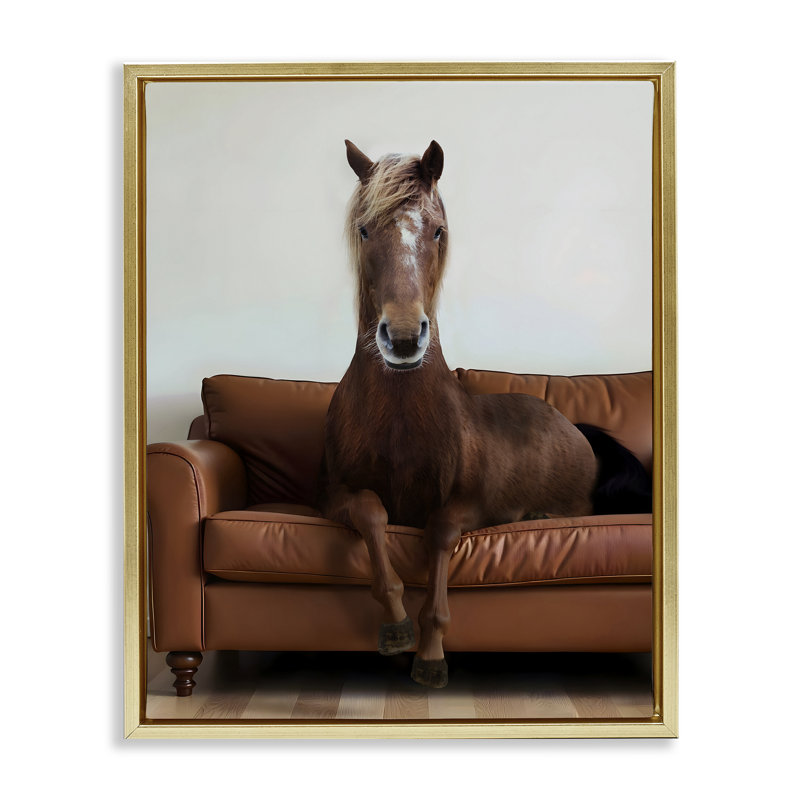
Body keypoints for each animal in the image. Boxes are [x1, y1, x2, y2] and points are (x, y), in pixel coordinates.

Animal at [319, 140, 651, 688]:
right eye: (365, 229)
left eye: (437, 230)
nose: (404, 338)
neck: (400, 422)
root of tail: (570, 423)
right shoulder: (333, 496)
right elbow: (371, 512)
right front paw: (397, 625)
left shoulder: (471, 506)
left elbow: (440, 534)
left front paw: (431, 651)